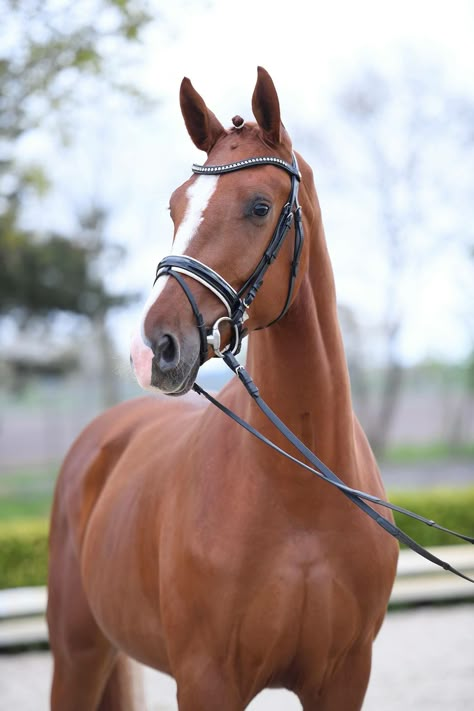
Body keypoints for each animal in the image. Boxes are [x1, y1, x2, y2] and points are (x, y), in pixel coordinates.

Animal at [48, 68, 398, 711]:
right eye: (175, 205)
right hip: (77, 657)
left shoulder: (344, 678)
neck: (300, 496)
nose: (151, 348)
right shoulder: (207, 679)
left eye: (259, 206)